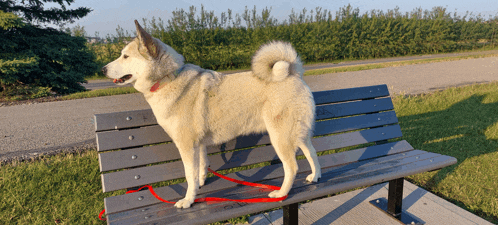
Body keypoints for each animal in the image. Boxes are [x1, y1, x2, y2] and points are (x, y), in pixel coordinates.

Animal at [103, 20, 322, 208]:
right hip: (298, 134)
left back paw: (281, 193)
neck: (168, 78)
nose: (103, 69)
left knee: (292, 167)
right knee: (311, 152)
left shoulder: (186, 146)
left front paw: (188, 200)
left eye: (125, 56)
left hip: (280, 137)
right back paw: (315, 176)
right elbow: (201, 167)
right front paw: (200, 184)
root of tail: (292, 73)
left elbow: (189, 174)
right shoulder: (198, 145)